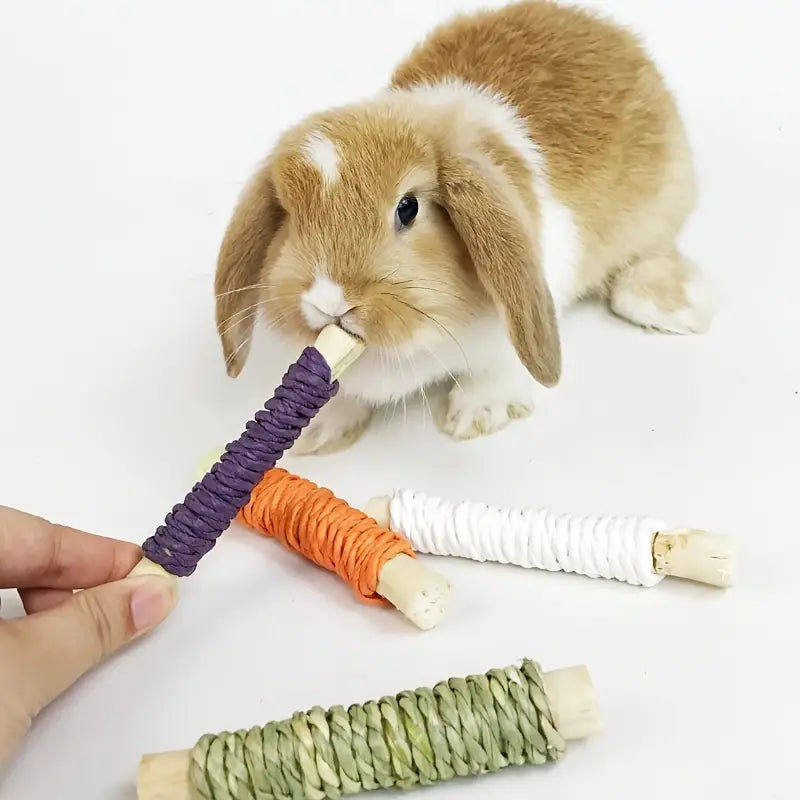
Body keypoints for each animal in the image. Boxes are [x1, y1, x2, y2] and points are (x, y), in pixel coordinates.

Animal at [213, 0, 714, 455]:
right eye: (289, 215)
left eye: (408, 208)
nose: (329, 299)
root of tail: (607, 28)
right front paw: (318, 432)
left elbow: (496, 370)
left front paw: (476, 415)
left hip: (660, 210)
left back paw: (682, 308)